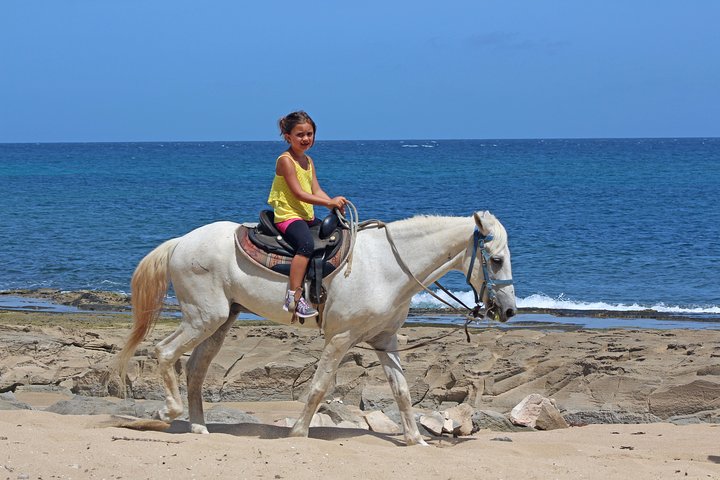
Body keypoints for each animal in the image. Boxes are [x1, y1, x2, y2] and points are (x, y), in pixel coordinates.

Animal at [115, 210, 516, 446]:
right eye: (495, 260)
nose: (509, 310)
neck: (387, 266)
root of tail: (180, 242)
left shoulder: (385, 341)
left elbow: (402, 391)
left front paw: (415, 439)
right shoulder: (341, 339)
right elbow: (319, 387)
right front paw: (298, 432)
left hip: (220, 321)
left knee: (196, 368)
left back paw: (199, 427)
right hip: (204, 316)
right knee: (164, 352)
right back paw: (168, 413)